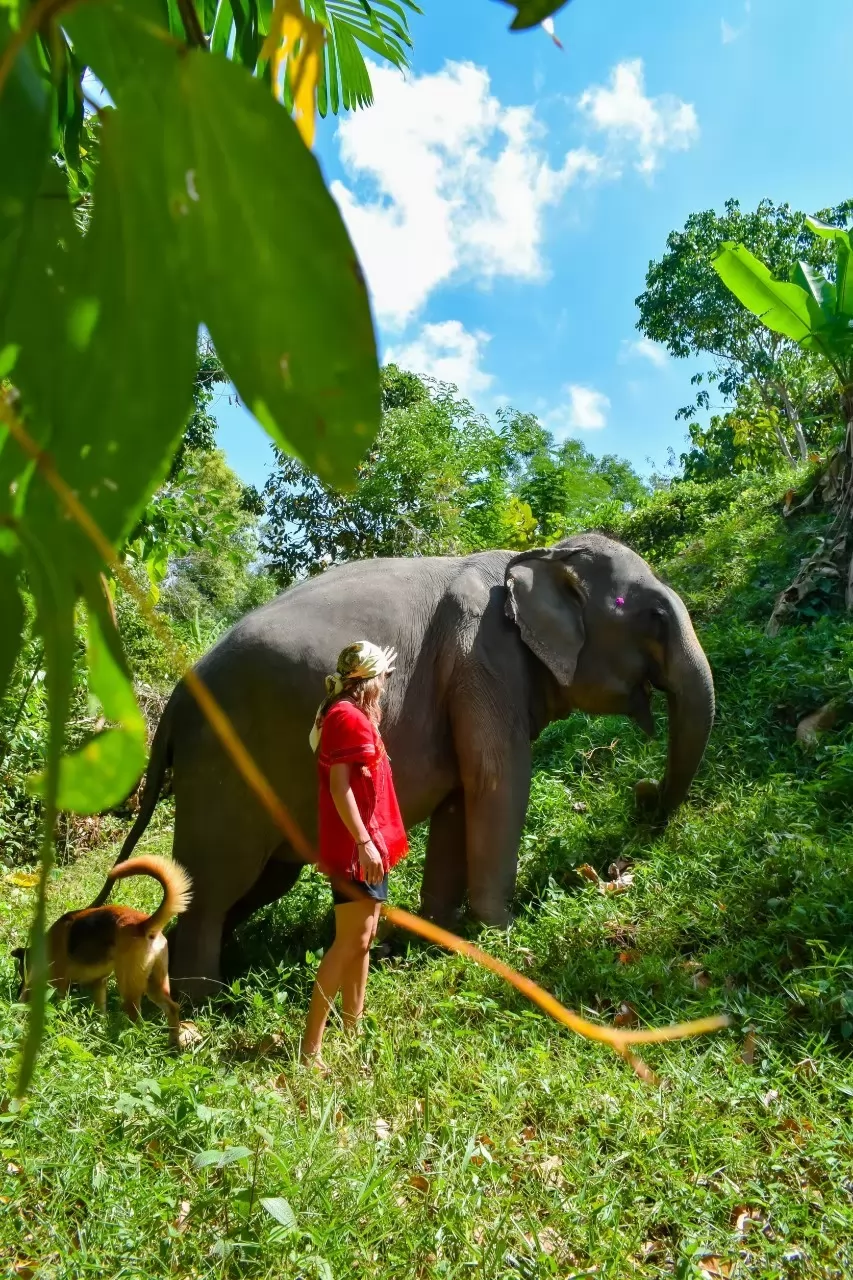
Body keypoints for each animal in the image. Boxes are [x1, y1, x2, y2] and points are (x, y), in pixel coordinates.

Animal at [101, 533, 714, 1001]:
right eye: (653, 615)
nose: (643, 794)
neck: (535, 554)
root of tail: (173, 702)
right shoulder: (483, 658)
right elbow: (500, 781)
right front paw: (500, 934)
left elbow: (460, 798)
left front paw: (443, 935)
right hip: (223, 771)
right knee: (212, 888)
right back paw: (202, 1005)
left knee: (259, 882)